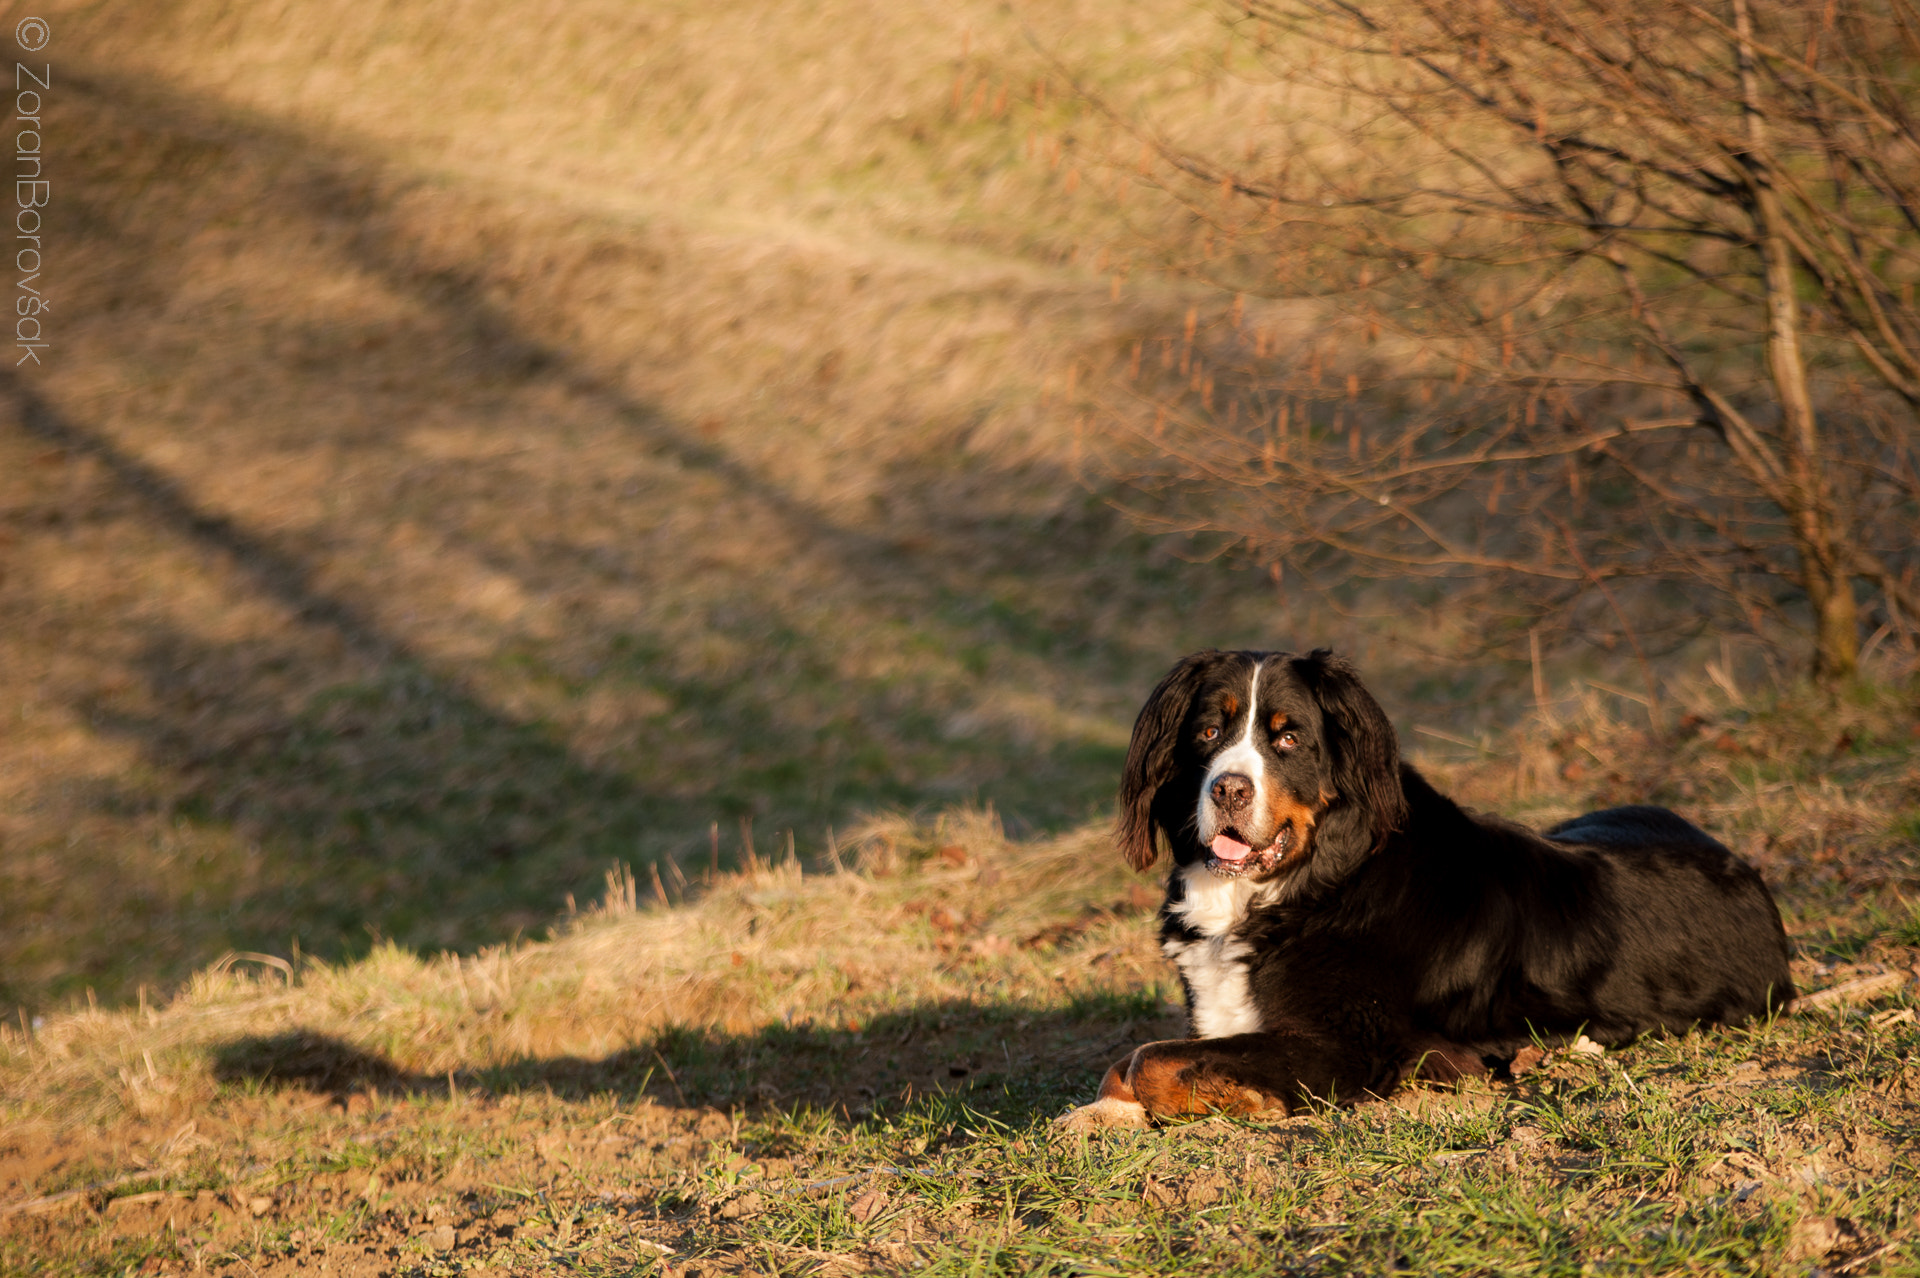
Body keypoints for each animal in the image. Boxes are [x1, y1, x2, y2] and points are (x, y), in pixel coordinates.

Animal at [1059, 648, 1789, 1128]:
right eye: (1209, 731)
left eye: (1288, 738)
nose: (1229, 789)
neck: (1309, 886)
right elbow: (1126, 1062)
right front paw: (1091, 1116)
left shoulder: (1352, 1045)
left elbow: (1149, 1057)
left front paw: (1238, 1096)